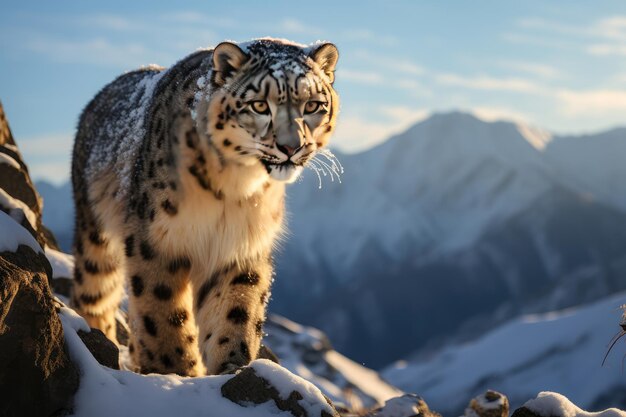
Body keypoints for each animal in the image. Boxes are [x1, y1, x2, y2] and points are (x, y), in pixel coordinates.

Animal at [70, 39, 338, 376]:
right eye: (259, 105)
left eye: (313, 105)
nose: (292, 146)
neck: (235, 188)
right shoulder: (158, 241)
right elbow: (163, 313)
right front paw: (174, 371)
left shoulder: (241, 247)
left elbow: (236, 310)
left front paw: (231, 365)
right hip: (96, 240)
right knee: (94, 295)